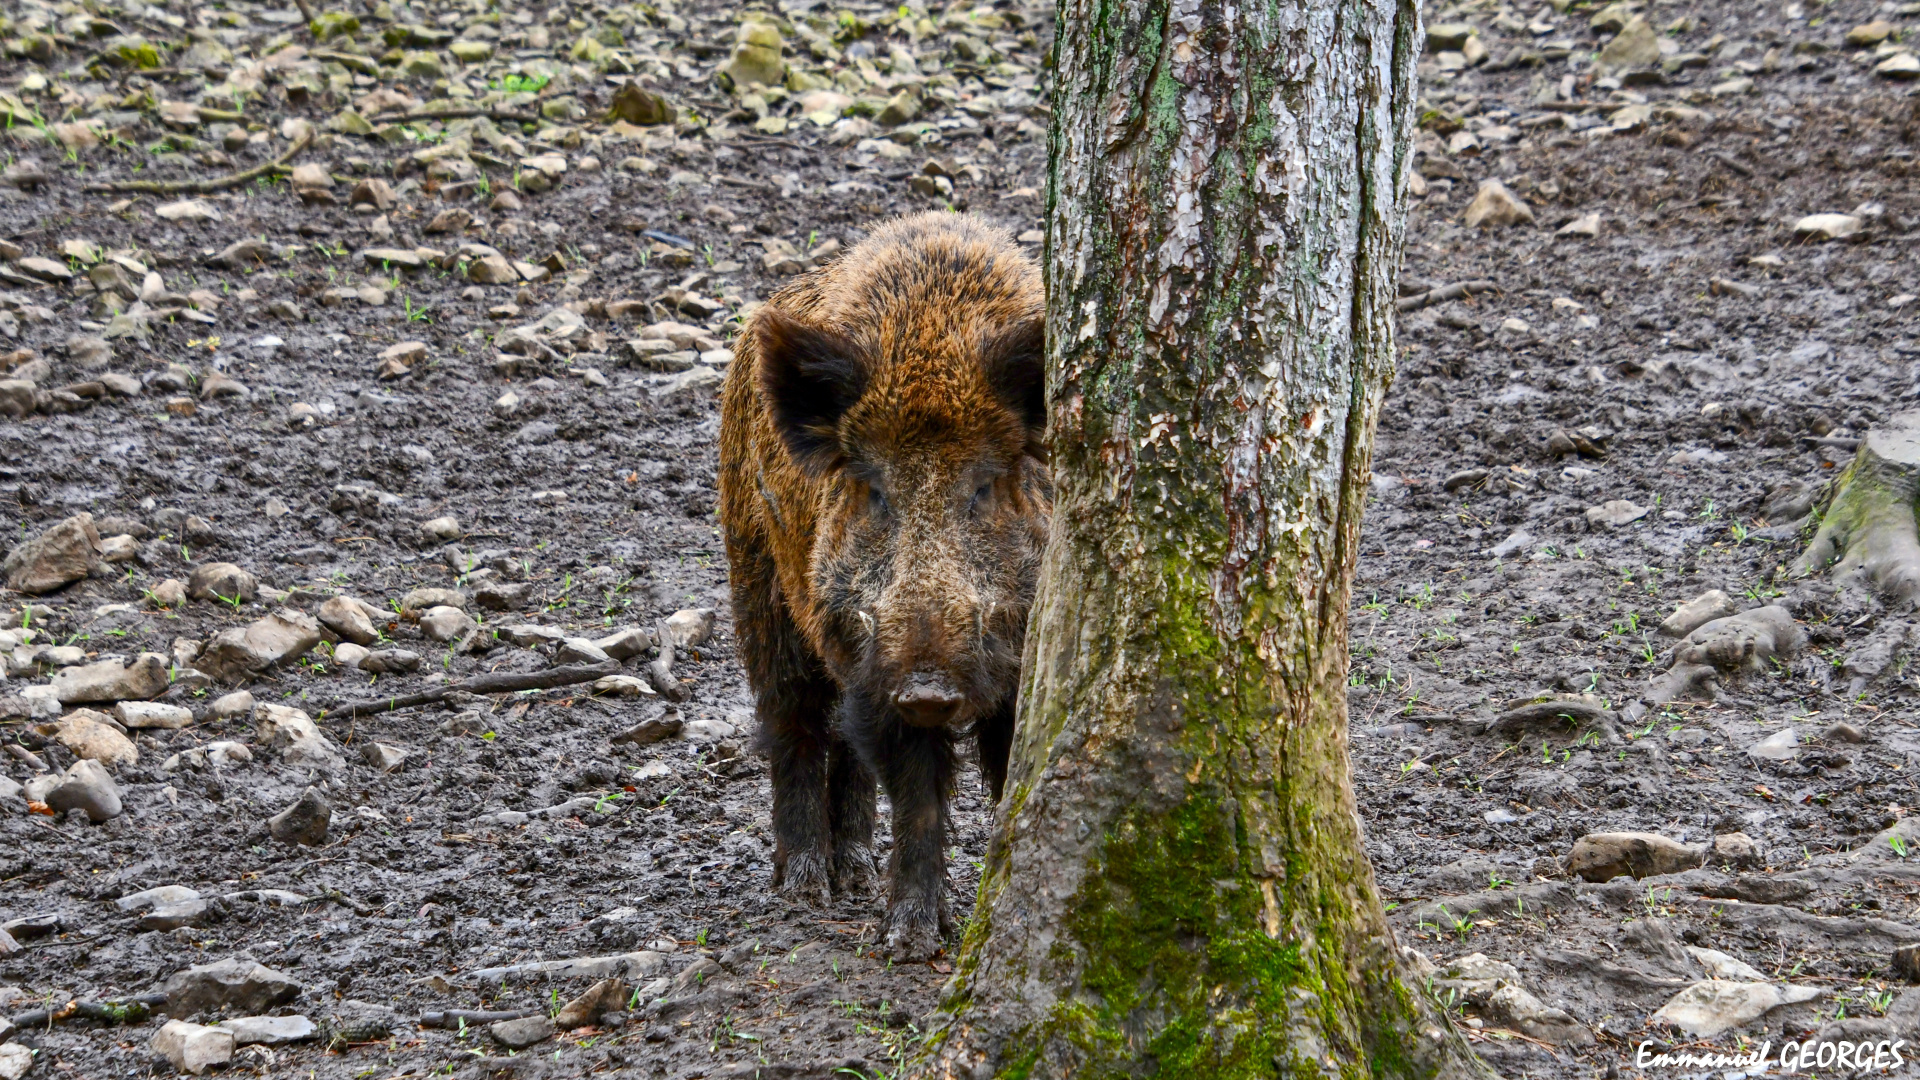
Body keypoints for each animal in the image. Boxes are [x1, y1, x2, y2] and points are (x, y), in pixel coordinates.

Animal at [717, 212, 1048, 959]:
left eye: (985, 486)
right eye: (873, 489)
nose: (927, 685)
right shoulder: (873, 664)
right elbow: (917, 794)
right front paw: (911, 940)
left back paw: (855, 872)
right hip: (757, 581)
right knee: (793, 719)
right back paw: (807, 885)